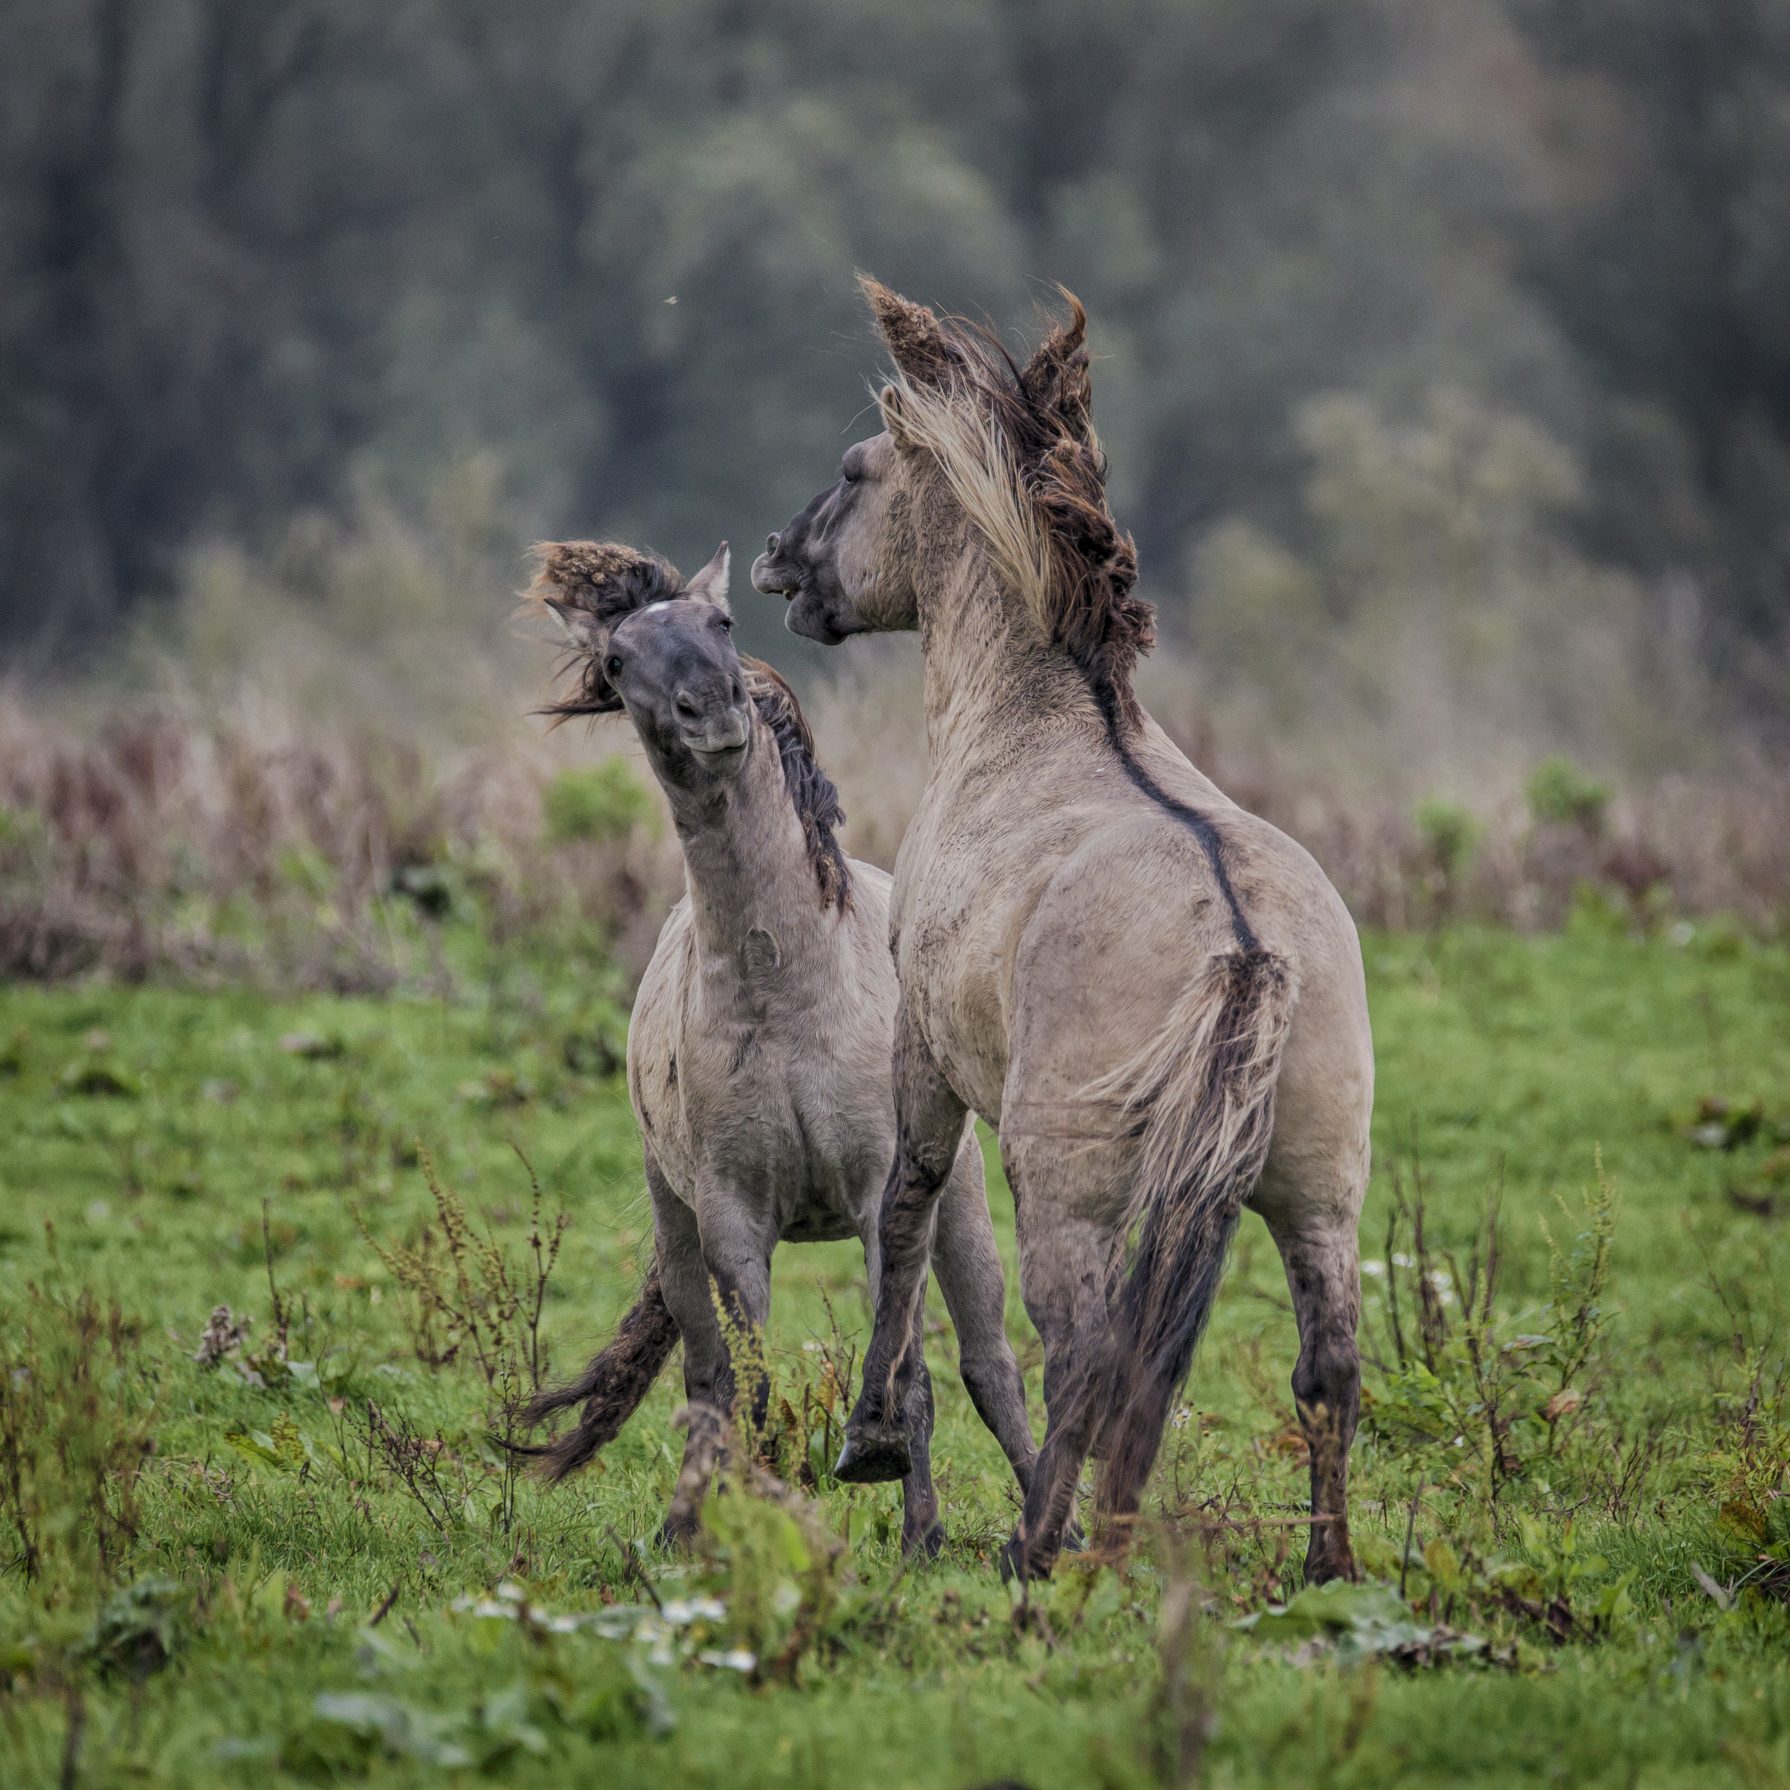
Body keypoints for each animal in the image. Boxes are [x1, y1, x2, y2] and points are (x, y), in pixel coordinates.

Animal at [515, 538, 1038, 1552]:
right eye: (616, 663)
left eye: (721, 623)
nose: (714, 708)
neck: (785, 985)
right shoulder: (731, 1223)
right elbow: (744, 1389)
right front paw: (744, 1523)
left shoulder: (882, 1202)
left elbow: (909, 1377)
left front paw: (917, 1533)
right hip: (678, 1228)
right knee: (706, 1378)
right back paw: (684, 1528)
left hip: (960, 1209)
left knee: (991, 1366)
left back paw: (1050, 1521)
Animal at [750, 283, 1375, 1583]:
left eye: (853, 469)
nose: (779, 558)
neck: (1032, 725)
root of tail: (1245, 946)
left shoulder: (922, 1055)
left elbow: (906, 1212)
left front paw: (872, 1436)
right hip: (1317, 1191)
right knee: (1324, 1368)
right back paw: (1320, 1569)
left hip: (1070, 1191)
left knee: (1084, 1356)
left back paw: (1038, 1546)